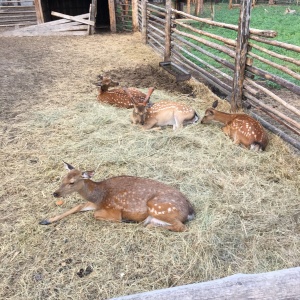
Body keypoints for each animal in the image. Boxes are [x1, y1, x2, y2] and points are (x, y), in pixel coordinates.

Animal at [39, 162, 195, 232]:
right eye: (63, 178)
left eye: (72, 182)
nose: (55, 193)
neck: (99, 195)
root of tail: (190, 211)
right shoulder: (94, 203)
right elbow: (78, 206)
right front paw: (46, 220)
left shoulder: (113, 209)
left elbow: (96, 215)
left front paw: (123, 220)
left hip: (159, 207)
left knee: (181, 226)